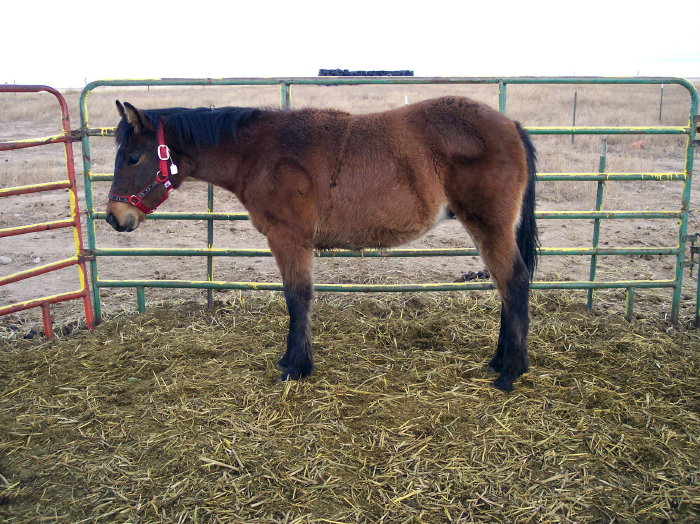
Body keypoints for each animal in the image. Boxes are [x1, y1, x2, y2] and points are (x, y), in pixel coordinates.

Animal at [106, 96, 539, 392]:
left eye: (132, 158)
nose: (114, 217)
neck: (262, 153)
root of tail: (511, 124)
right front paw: (290, 360)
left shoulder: (289, 238)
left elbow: (297, 296)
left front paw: (296, 367)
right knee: (506, 286)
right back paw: (499, 360)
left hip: (489, 225)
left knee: (513, 282)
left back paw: (509, 372)